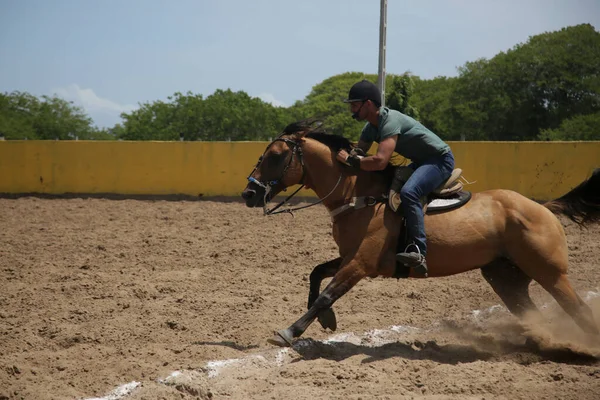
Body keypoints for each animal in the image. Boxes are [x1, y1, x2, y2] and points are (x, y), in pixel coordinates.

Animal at [240, 119, 600, 346]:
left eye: (275, 156)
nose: (249, 193)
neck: (360, 195)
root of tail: (544, 209)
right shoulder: (349, 256)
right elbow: (316, 274)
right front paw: (327, 319)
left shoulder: (360, 264)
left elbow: (328, 292)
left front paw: (290, 331)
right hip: (504, 277)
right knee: (530, 312)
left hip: (550, 273)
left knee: (578, 310)